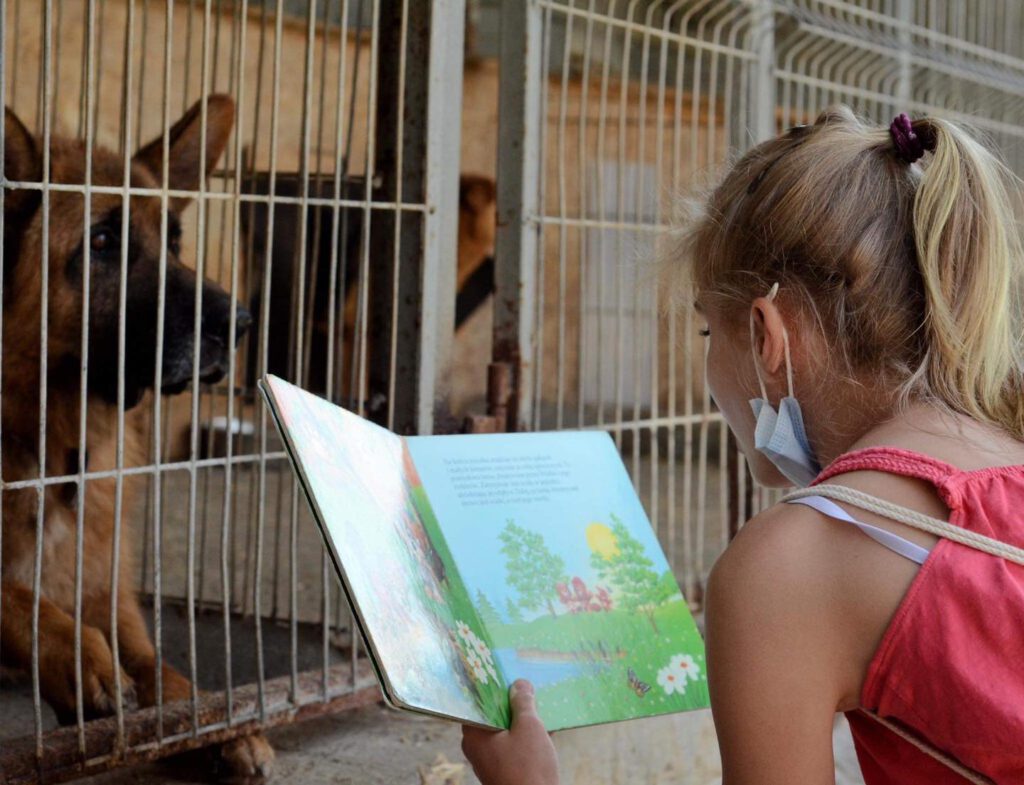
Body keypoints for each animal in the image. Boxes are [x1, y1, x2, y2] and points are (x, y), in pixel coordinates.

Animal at [0, 96, 274, 777]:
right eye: (101, 242)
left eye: (173, 242)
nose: (239, 322)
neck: (57, 447)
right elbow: (21, 601)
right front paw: (81, 660)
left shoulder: (108, 593)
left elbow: (161, 673)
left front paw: (216, 724)